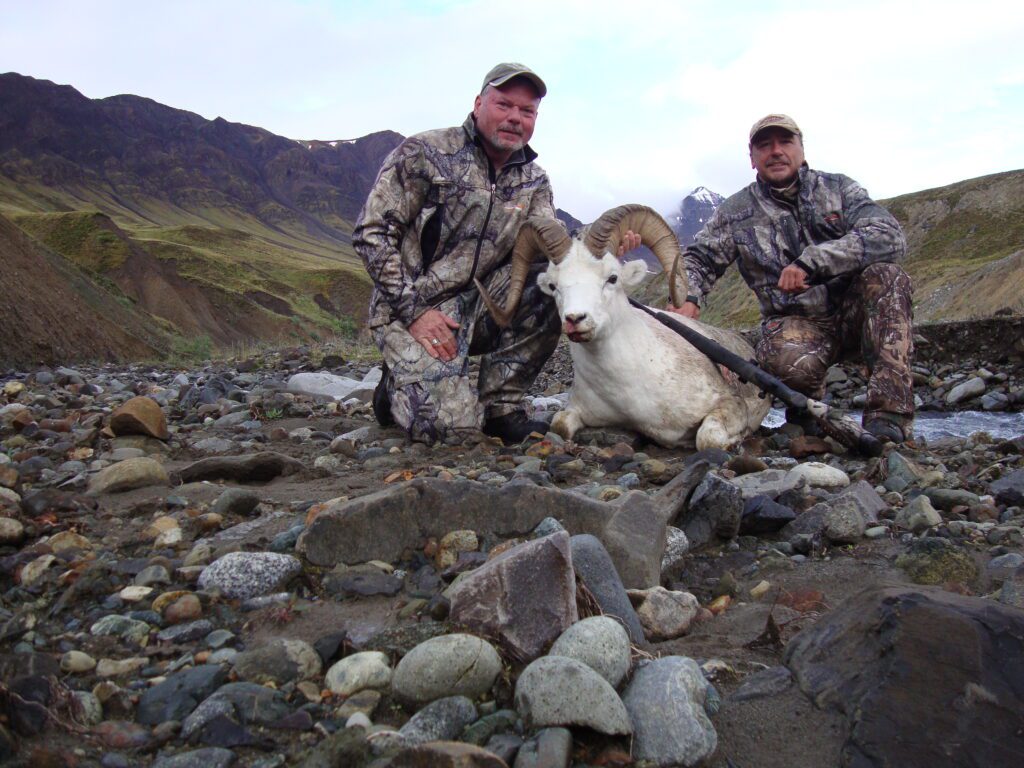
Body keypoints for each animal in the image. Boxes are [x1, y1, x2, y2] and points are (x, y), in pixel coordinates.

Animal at [477, 204, 770, 450]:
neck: (630, 391)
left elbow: (707, 439)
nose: (575, 319)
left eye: (612, 278)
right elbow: (559, 425)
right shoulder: (576, 410)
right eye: (553, 285)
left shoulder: (729, 404)